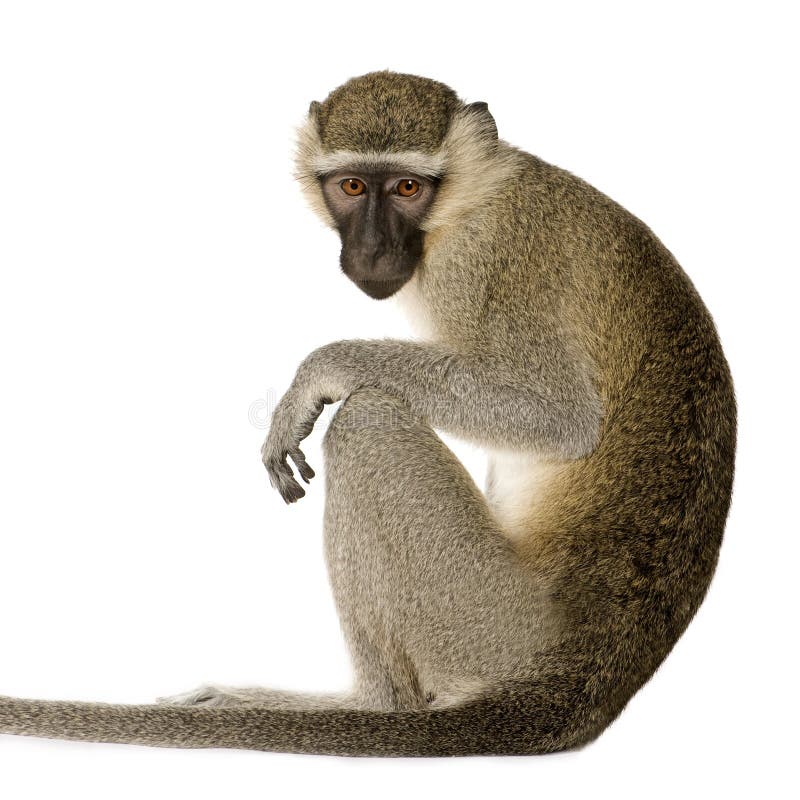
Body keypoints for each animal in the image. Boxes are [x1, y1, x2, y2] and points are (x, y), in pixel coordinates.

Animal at [0, 71, 736, 756]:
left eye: (408, 189)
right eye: (352, 186)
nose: (375, 248)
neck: (469, 201)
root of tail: (584, 682)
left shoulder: (484, 264)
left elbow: (559, 417)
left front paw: (321, 369)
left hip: (487, 624)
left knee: (367, 423)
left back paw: (371, 706)